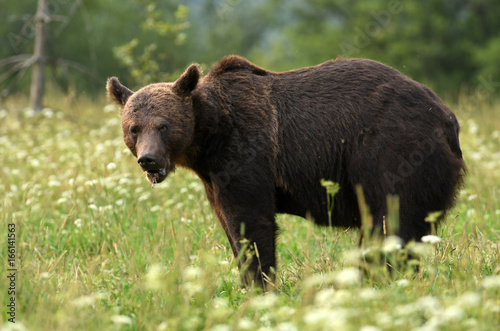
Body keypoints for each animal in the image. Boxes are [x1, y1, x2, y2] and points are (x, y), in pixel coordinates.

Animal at [107, 55, 466, 290]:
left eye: (163, 125)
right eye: (133, 128)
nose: (149, 159)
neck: (208, 138)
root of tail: (447, 116)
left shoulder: (247, 151)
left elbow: (251, 222)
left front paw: (259, 285)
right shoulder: (213, 177)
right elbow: (229, 225)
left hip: (392, 149)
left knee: (391, 220)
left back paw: (379, 277)